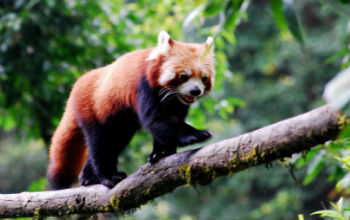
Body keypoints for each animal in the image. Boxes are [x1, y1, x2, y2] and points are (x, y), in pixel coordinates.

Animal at [46, 31, 216, 189]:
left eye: (204, 78)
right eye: (184, 76)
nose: (195, 91)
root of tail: (78, 83)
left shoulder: (178, 103)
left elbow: (167, 125)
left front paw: (161, 153)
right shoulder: (145, 87)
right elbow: (157, 120)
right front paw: (196, 134)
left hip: (122, 122)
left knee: (115, 140)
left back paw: (87, 177)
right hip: (94, 110)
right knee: (101, 144)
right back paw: (108, 176)